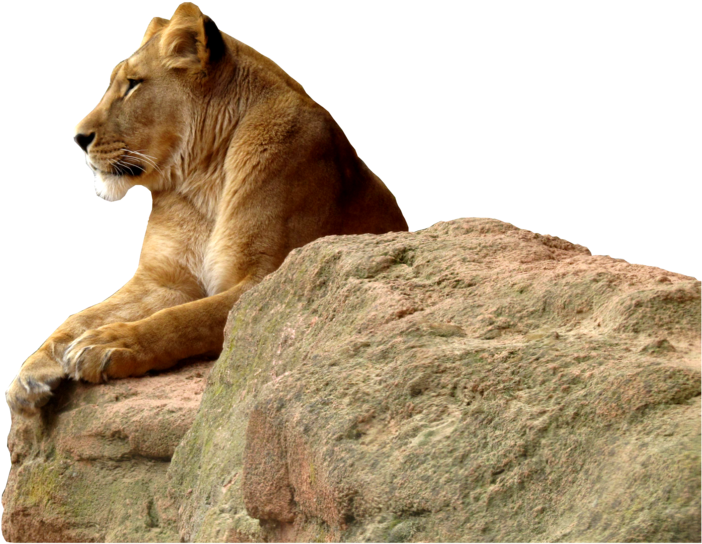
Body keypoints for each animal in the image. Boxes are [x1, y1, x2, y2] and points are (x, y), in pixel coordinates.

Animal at [5, 1, 410, 416]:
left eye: (133, 84)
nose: (78, 138)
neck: (202, 180)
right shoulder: (165, 279)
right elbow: (83, 314)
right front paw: (31, 372)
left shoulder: (267, 279)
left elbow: (183, 318)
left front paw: (110, 344)